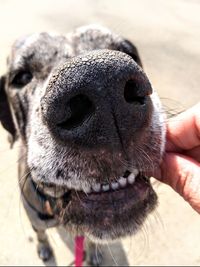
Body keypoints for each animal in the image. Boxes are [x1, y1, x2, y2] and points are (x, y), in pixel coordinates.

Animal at [0, 25, 166, 266]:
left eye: (128, 52)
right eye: (21, 76)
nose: (101, 81)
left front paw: (94, 251)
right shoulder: (36, 220)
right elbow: (40, 234)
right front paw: (44, 246)